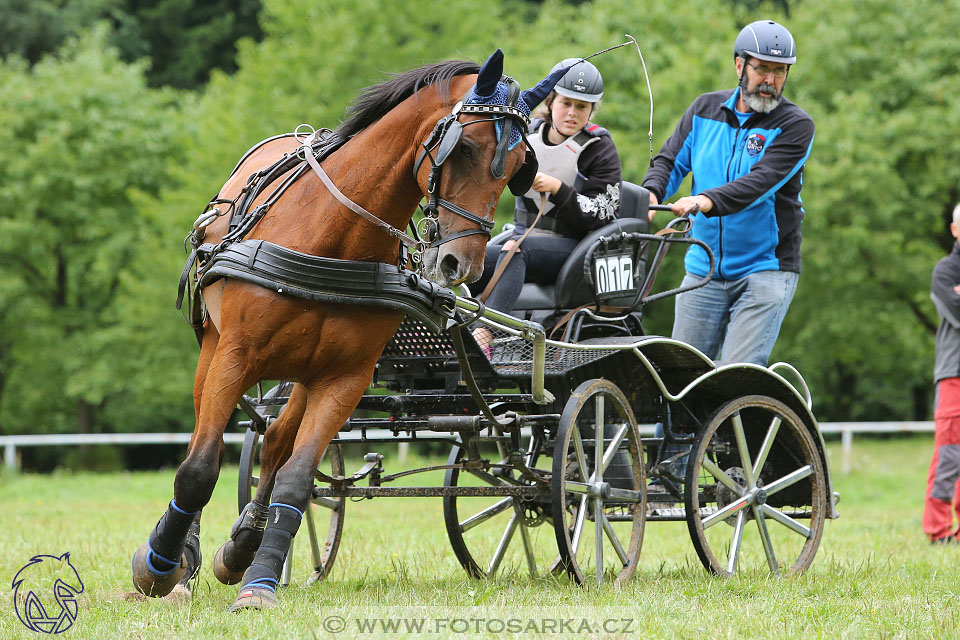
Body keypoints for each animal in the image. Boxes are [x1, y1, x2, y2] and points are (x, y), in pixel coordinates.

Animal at [132, 48, 572, 608]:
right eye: (467, 147)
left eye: (519, 167)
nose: (462, 266)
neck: (334, 237)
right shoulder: (235, 354)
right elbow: (199, 469)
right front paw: (159, 565)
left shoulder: (345, 377)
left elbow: (298, 478)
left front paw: (259, 582)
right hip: (216, 350)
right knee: (203, 442)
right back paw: (186, 556)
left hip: (304, 370)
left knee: (276, 442)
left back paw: (244, 544)